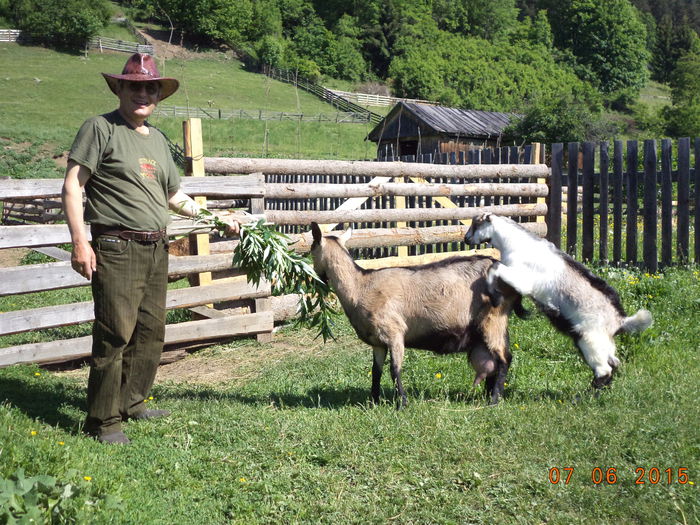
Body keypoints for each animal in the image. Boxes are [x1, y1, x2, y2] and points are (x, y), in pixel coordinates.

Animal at [310, 222, 524, 410]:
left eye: (311, 249)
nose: (316, 278)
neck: (361, 286)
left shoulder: (394, 332)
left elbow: (394, 369)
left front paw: (402, 404)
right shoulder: (378, 342)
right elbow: (376, 371)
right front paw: (373, 402)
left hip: (494, 318)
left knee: (504, 359)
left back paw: (494, 400)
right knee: (494, 361)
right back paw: (488, 395)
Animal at [464, 211, 652, 386]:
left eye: (477, 224)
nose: (466, 239)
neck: (516, 244)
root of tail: (620, 320)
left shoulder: (523, 279)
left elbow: (495, 267)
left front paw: (495, 296)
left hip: (590, 340)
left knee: (604, 370)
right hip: (603, 343)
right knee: (614, 363)